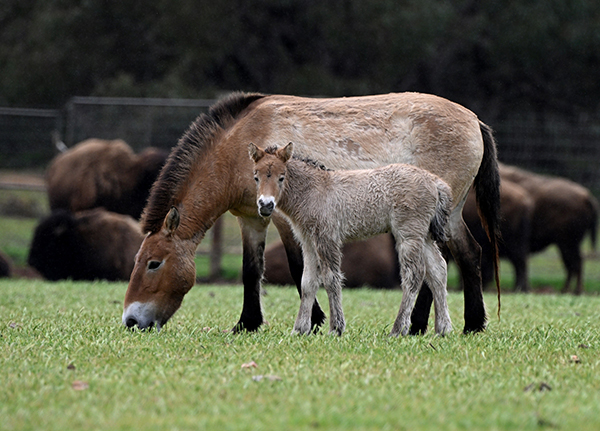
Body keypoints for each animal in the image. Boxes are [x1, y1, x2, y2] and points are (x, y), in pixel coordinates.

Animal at [247, 143, 450, 338]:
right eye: (256, 177)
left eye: (281, 177)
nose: (266, 205)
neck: (314, 190)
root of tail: (435, 182)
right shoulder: (308, 241)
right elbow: (308, 282)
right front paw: (300, 329)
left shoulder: (326, 237)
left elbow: (331, 279)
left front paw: (336, 328)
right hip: (424, 236)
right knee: (438, 270)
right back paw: (443, 329)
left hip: (409, 233)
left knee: (414, 275)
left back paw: (398, 329)